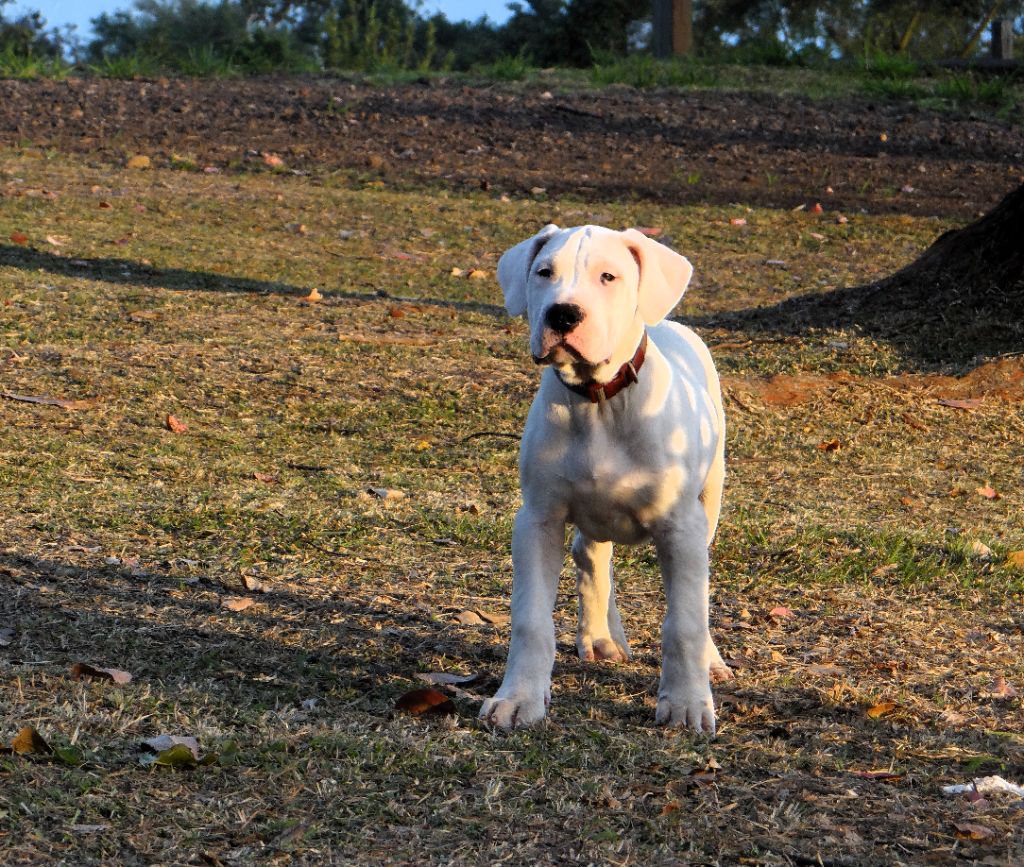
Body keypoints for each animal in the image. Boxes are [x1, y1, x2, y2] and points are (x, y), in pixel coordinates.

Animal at [479, 224, 729, 732]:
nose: (563, 313)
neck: (599, 402)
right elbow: (530, 619)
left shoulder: (682, 527)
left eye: (608, 277)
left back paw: (709, 660)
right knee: (592, 555)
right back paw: (600, 636)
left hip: (710, 499)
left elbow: (685, 620)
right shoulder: (538, 520)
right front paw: (519, 698)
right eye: (544, 272)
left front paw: (687, 704)